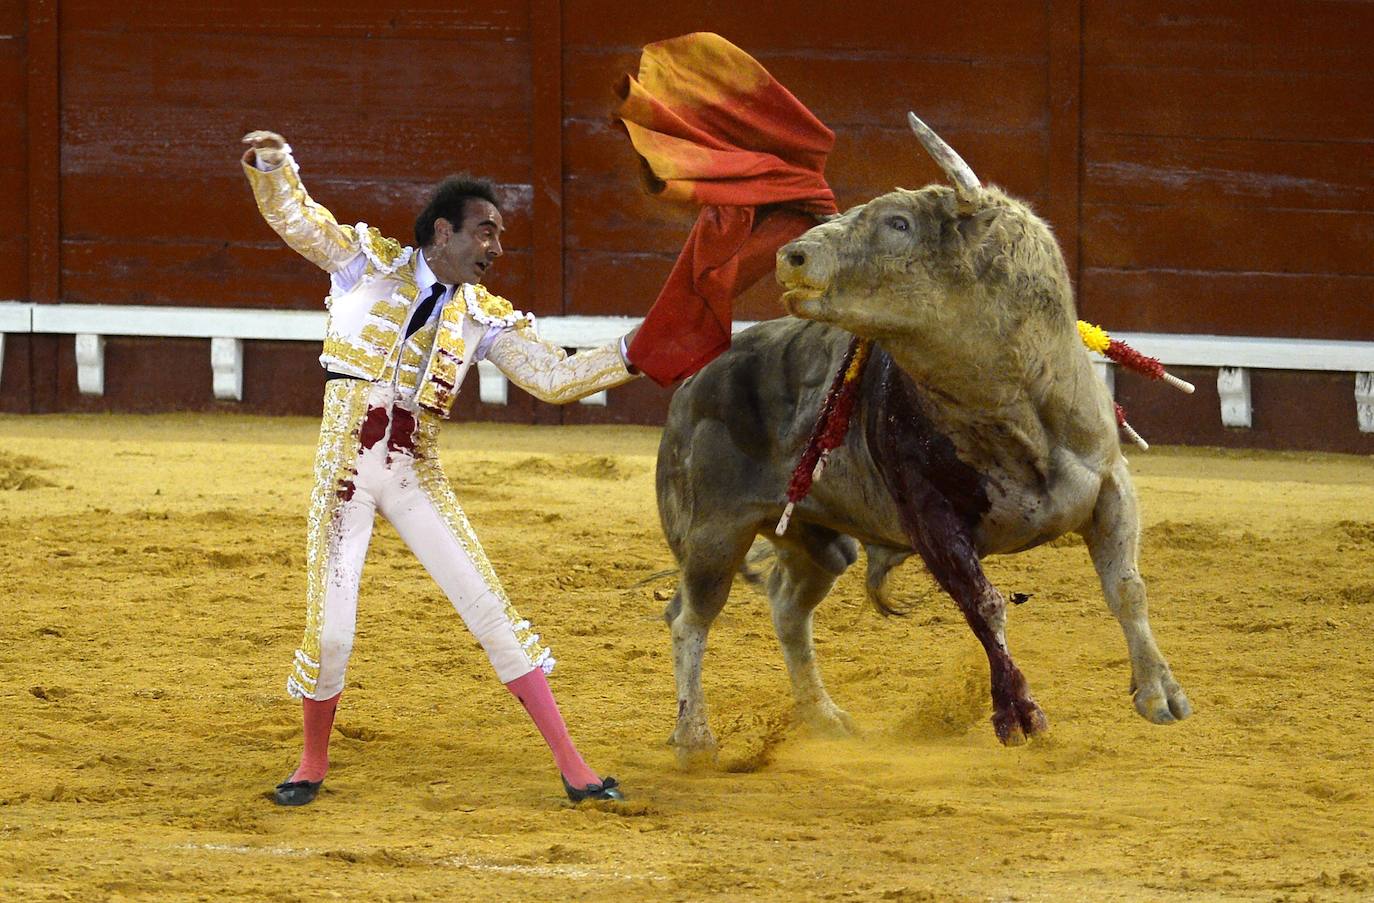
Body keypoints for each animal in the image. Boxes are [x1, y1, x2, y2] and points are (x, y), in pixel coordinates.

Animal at [654, 112, 1192, 758]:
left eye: (898, 223)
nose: (792, 256)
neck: (1017, 405)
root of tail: (694, 381)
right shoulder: (932, 520)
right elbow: (985, 607)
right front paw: (1020, 716)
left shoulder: (1112, 486)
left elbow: (1127, 587)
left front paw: (1159, 693)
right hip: (715, 531)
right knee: (691, 618)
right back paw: (694, 736)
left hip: (818, 540)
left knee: (787, 606)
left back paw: (824, 717)